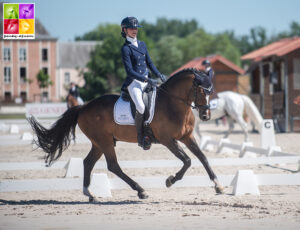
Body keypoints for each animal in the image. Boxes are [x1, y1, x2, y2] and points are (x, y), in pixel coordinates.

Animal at [28, 68, 225, 201]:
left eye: (211, 91)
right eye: (201, 91)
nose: (206, 116)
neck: (174, 104)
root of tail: (83, 107)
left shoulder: (187, 137)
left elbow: (202, 157)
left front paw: (218, 185)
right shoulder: (167, 140)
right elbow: (187, 160)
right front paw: (170, 180)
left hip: (99, 143)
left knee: (88, 162)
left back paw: (90, 194)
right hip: (105, 141)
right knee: (113, 166)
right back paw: (141, 190)